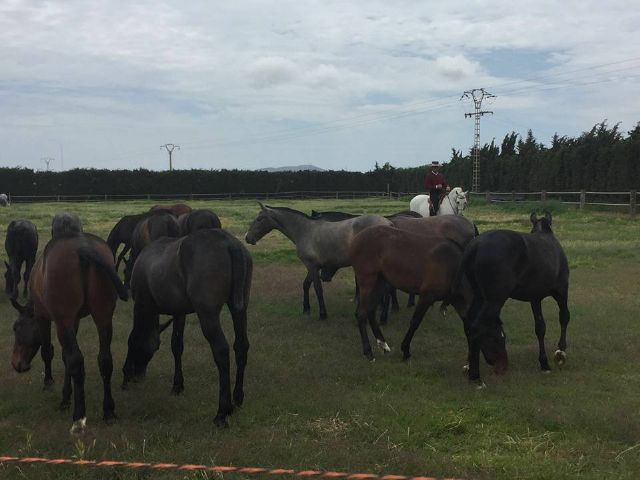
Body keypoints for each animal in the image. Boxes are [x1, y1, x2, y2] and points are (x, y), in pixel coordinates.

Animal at [9, 232, 127, 436]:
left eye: (16, 327)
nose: (17, 364)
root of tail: (83, 248)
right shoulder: (74, 321)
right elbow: (65, 358)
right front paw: (66, 395)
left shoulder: (45, 318)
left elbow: (49, 351)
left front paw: (49, 383)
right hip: (103, 316)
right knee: (105, 360)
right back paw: (108, 410)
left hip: (65, 319)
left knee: (76, 361)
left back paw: (79, 418)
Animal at [120, 229, 252, 428]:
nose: (139, 375)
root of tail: (229, 243)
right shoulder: (179, 312)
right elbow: (177, 346)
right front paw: (177, 385)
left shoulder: (141, 307)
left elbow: (133, 339)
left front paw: (126, 376)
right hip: (240, 309)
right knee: (241, 346)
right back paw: (237, 398)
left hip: (207, 314)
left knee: (221, 350)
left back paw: (222, 411)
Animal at [245, 202, 392, 318]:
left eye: (259, 219)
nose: (247, 237)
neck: (304, 230)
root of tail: (388, 223)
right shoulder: (314, 266)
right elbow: (306, 284)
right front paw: (306, 309)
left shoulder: (311, 265)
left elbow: (317, 288)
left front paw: (322, 314)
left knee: (386, 289)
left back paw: (383, 316)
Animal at [348, 225, 472, 360]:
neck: (452, 266)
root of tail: (357, 238)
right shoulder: (426, 296)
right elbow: (415, 322)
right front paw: (406, 350)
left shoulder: (459, 303)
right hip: (368, 283)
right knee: (361, 314)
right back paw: (368, 352)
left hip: (380, 284)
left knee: (370, 312)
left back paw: (383, 345)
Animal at [460, 211, 568, 386]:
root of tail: (475, 246)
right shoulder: (562, 291)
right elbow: (564, 317)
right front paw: (561, 352)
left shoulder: (535, 298)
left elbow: (540, 328)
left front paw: (544, 363)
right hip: (494, 300)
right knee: (477, 327)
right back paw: (476, 377)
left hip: (480, 297)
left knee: (469, 324)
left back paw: (470, 366)